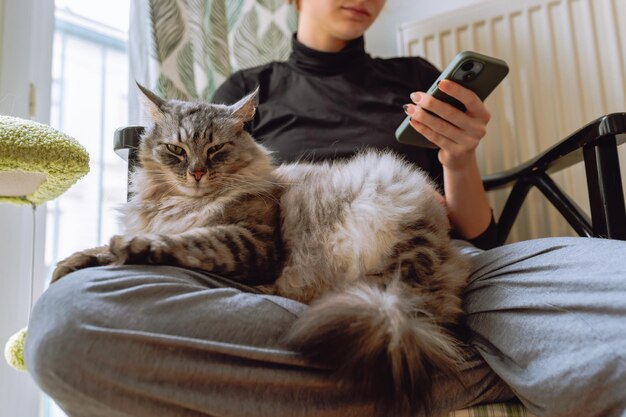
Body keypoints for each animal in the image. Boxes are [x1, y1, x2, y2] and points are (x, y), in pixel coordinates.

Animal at [52, 84, 468, 416]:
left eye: (216, 149)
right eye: (176, 149)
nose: (196, 173)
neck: (182, 204)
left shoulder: (252, 241)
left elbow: (186, 240)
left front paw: (132, 247)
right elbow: (103, 247)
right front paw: (73, 261)